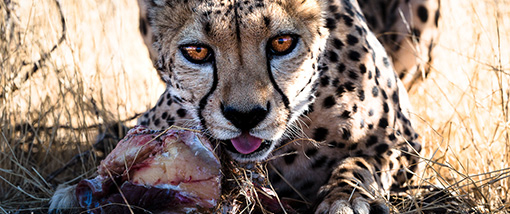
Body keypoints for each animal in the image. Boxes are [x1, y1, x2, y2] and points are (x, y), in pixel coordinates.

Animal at [50, 0, 438, 212]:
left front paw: (346, 198)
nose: (245, 116)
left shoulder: (403, 142)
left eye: (282, 42)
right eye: (197, 51)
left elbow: (361, 163)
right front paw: (80, 190)